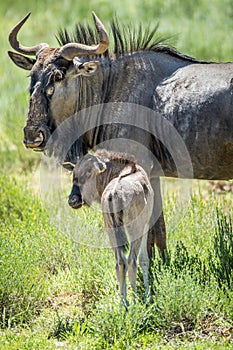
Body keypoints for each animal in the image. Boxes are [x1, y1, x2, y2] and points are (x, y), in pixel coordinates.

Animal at [67, 149, 155, 308]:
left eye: (88, 172)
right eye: (74, 174)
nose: (73, 200)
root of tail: (114, 193)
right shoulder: (145, 225)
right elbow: (144, 260)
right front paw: (147, 296)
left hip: (111, 230)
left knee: (120, 262)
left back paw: (123, 304)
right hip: (134, 229)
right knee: (131, 261)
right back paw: (135, 301)